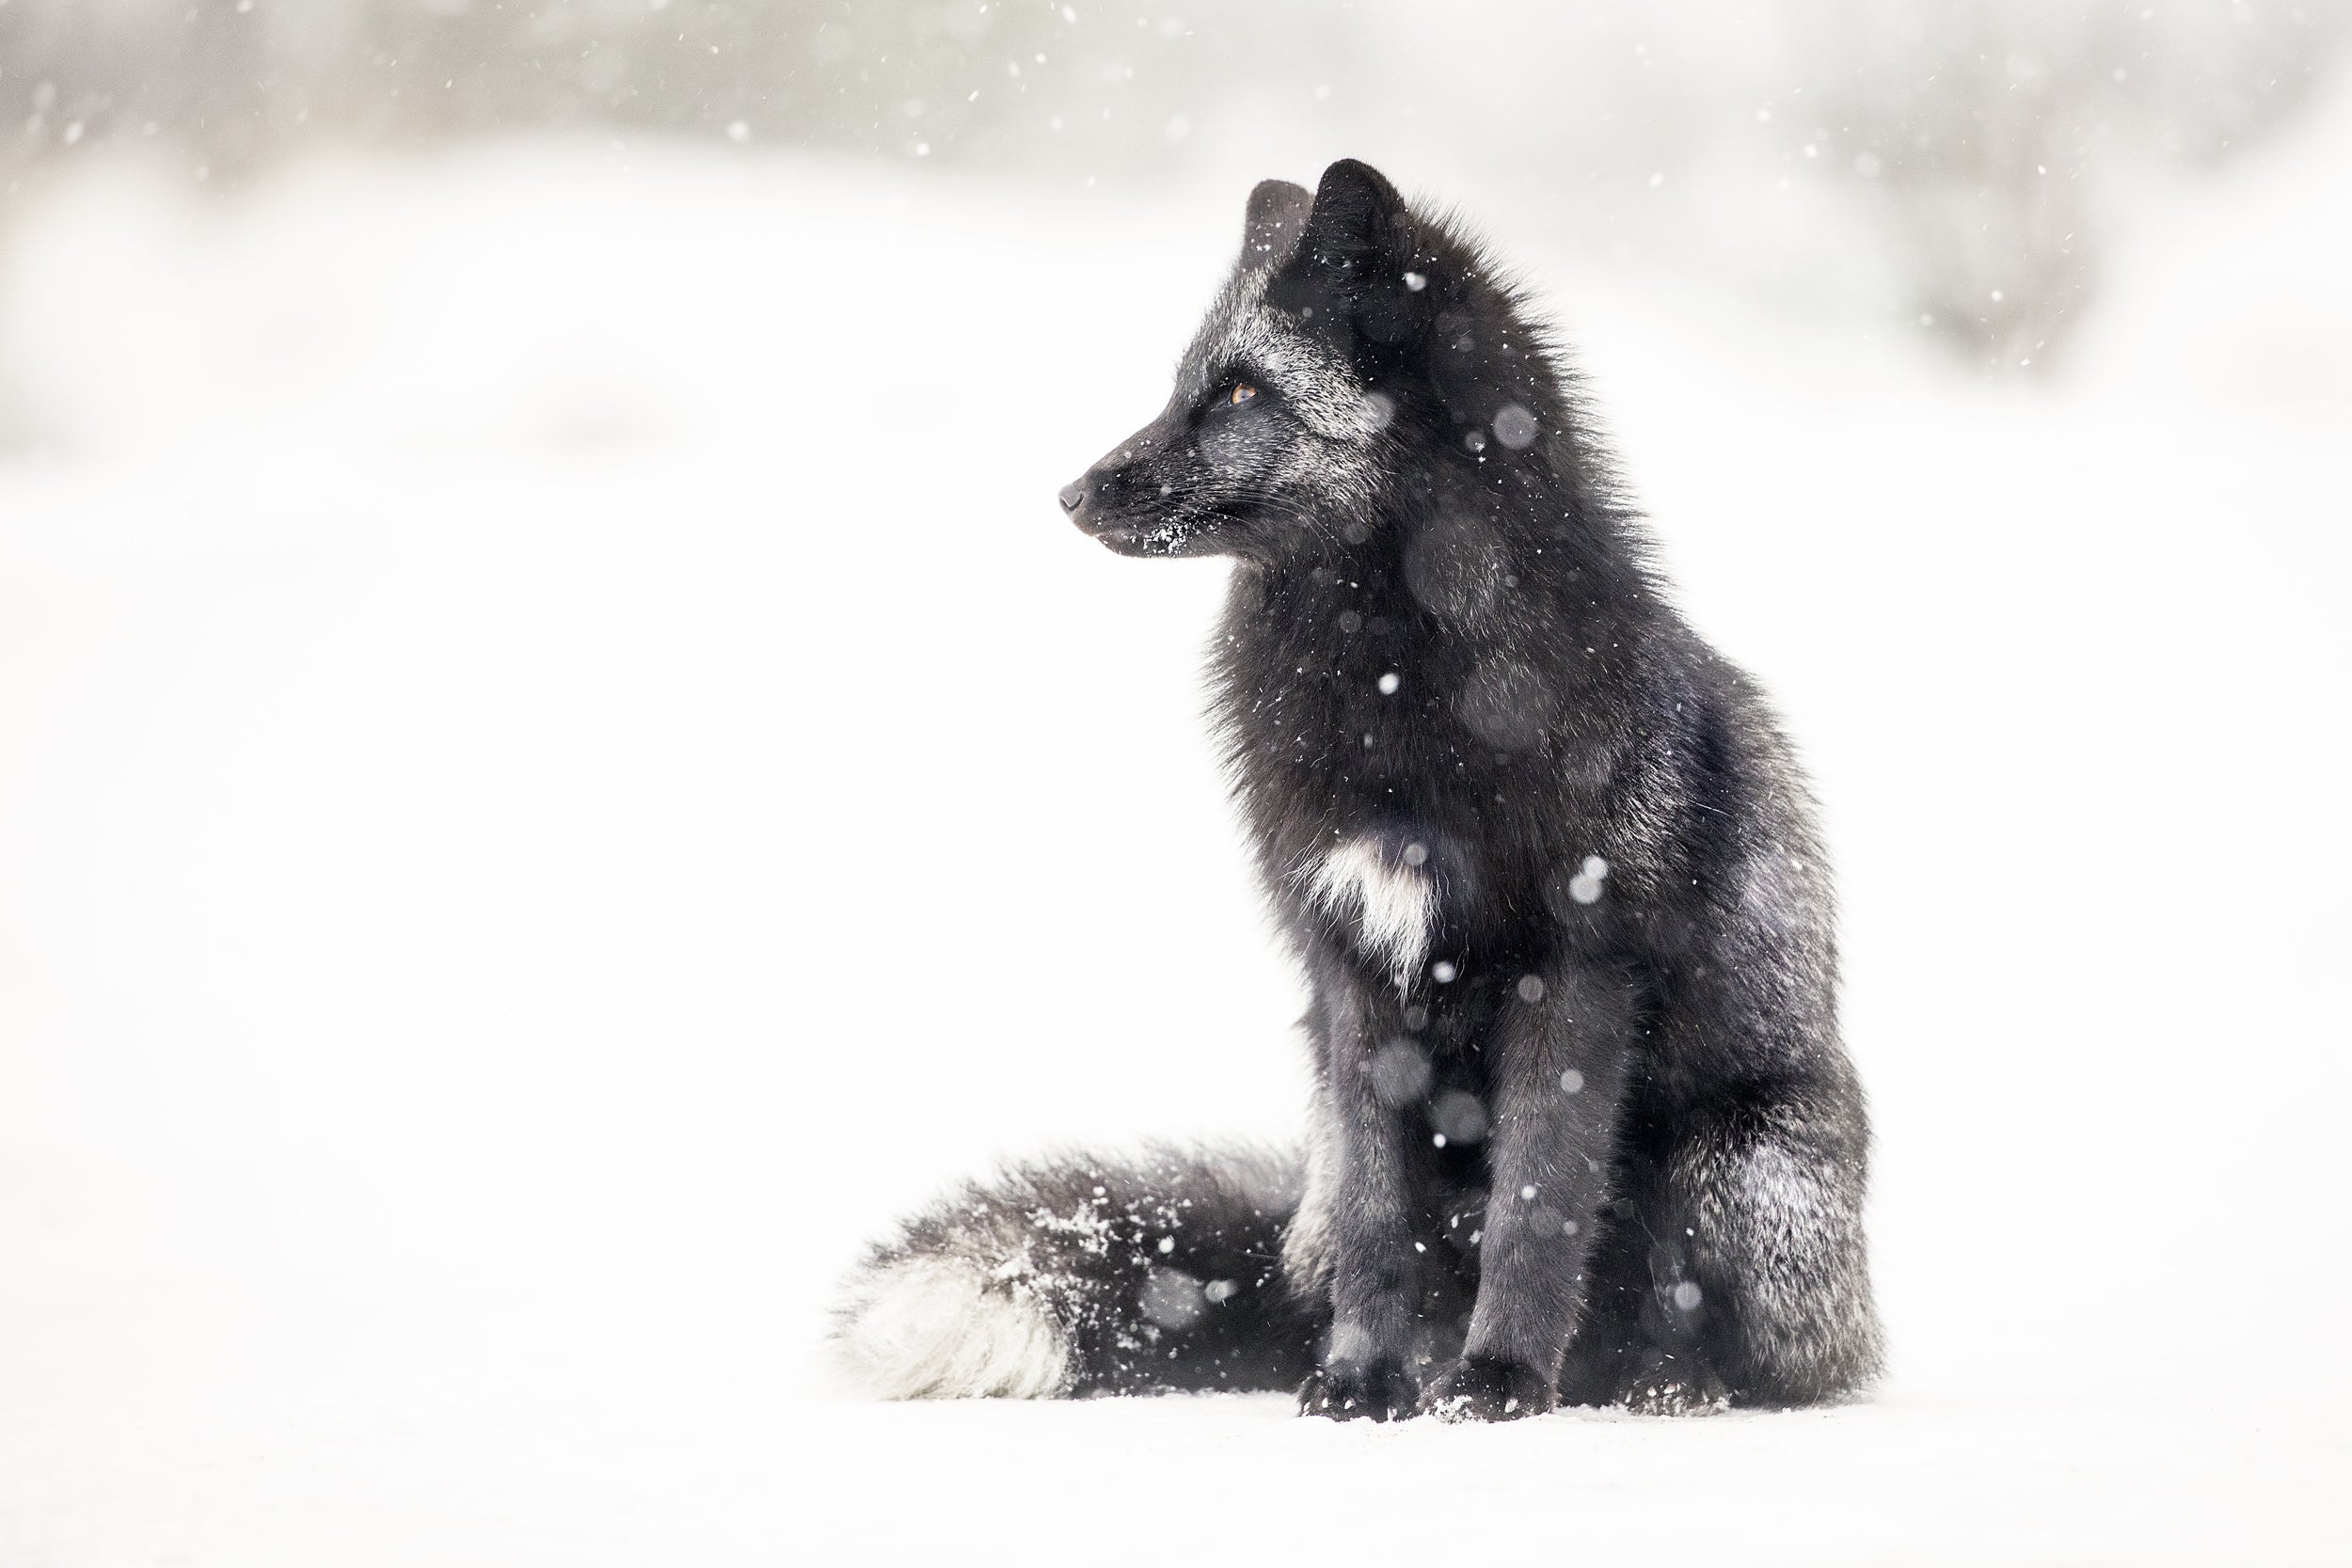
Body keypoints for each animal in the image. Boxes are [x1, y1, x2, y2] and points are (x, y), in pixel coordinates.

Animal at [834, 160, 1883, 1420]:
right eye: (1184, 384)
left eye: (1239, 391)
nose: (1072, 493)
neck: (1392, 690)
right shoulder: (1353, 963)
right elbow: (1387, 1225)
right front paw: (1362, 1381)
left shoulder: (1574, 967)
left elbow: (1537, 1205)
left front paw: (1500, 1379)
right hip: (1327, 1166)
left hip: (1741, 1169)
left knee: (1749, 1350)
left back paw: (1654, 1384)